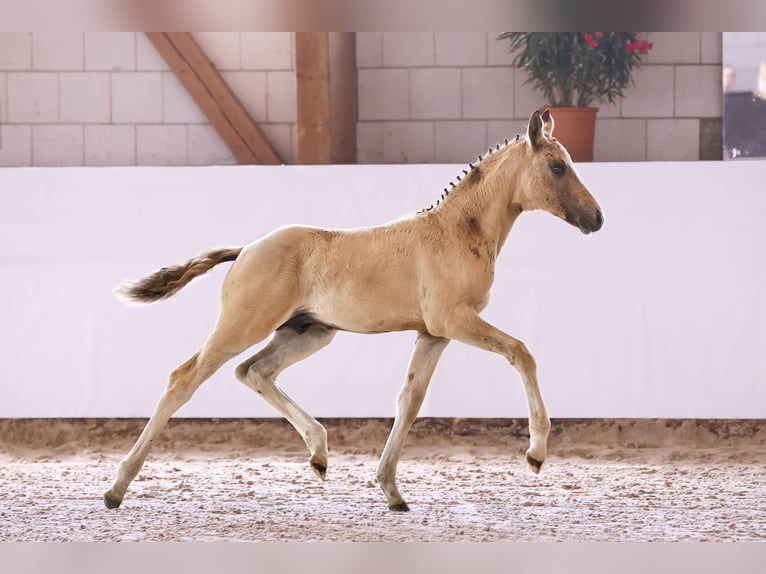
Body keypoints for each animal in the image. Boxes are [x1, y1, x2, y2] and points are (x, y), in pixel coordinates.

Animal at [103, 109, 608, 512]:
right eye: (558, 166)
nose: (597, 219)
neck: (455, 232)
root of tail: (246, 249)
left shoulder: (434, 333)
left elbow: (410, 400)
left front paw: (391, 491)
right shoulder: (454, 320)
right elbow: (522, 352)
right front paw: (537, 452)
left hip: (309, 331)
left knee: (254, 371)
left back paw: (319, 453)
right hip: (243, 325)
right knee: (184, 378)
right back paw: (116, 488)